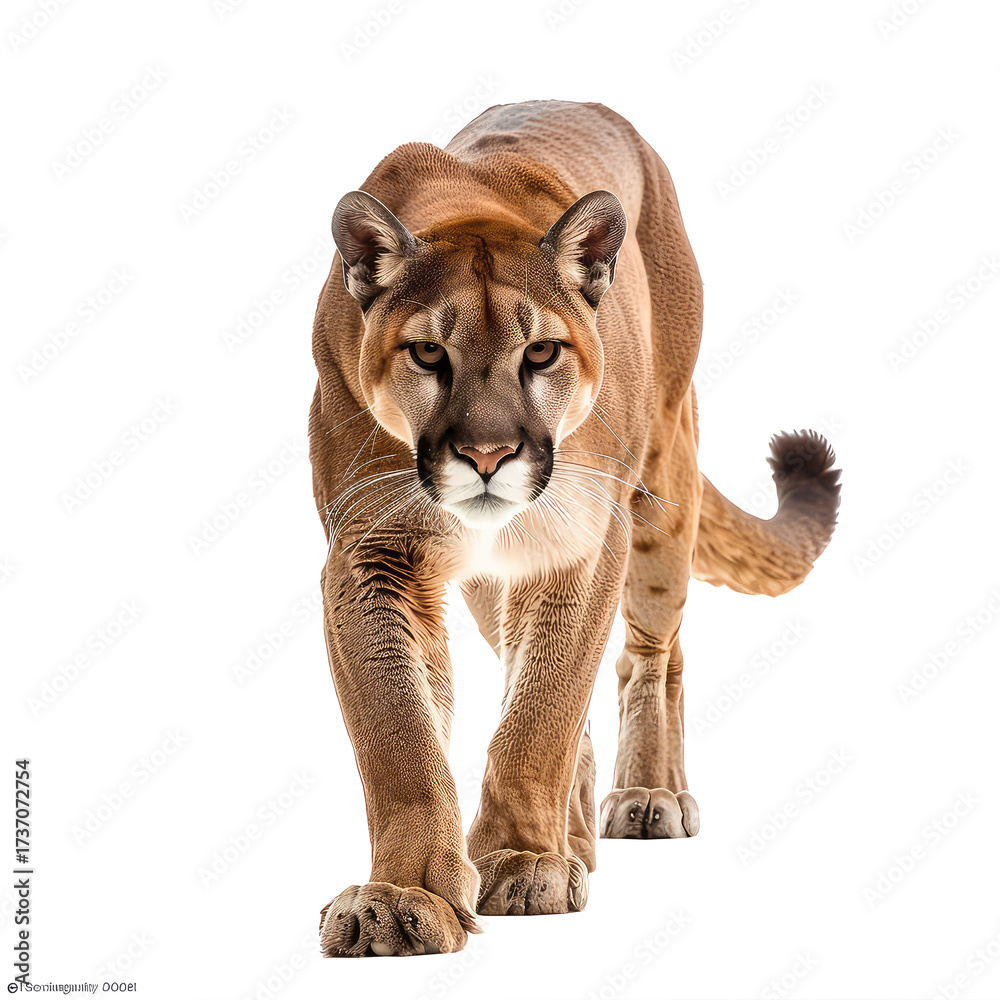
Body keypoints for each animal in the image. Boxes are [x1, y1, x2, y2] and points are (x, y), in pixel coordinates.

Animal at [308, 100, 840, 956]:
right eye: (427, 352)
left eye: (541, 352)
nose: (487, 455)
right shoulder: (371, 553)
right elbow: (403, 738)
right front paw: (402, 898)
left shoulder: (584, 540)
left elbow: (543, 710)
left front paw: (524, 862)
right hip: (495, 582)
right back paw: (578, 836)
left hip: (662, 491)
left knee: (648, 657)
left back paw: (648, 798)